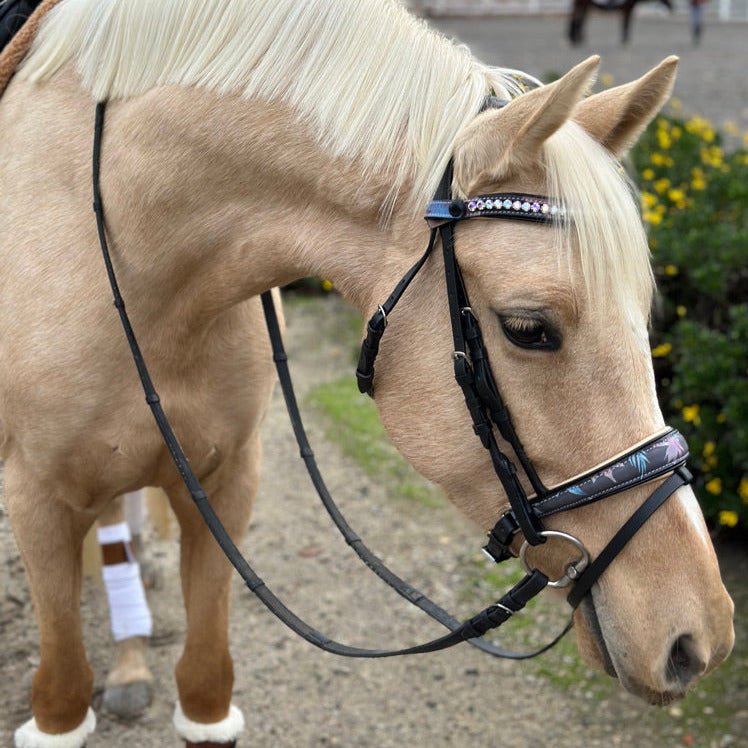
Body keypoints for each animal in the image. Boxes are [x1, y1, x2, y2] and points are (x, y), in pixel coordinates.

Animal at [0, 0, 736, 744]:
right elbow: (62, 694)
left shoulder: (226, 482)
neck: (136, 257)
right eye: (529, 329)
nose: (697, 638)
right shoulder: (37, 499)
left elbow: (205, 686)